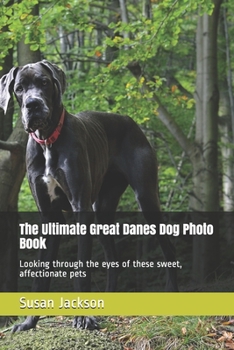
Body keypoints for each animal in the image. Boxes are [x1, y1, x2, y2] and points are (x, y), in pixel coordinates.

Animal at [0, 61, 177, 332]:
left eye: (44, 82)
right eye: (19, 88)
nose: (33, 104)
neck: (48, 141)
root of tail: (131, 121)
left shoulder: (80, 208)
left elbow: (82, 267)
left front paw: (83, 317)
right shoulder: (49, 217)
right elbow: (41, 273)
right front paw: (29, 322)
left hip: (146, 199)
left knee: (168, 248)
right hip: (101, 211)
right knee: (114, 259)